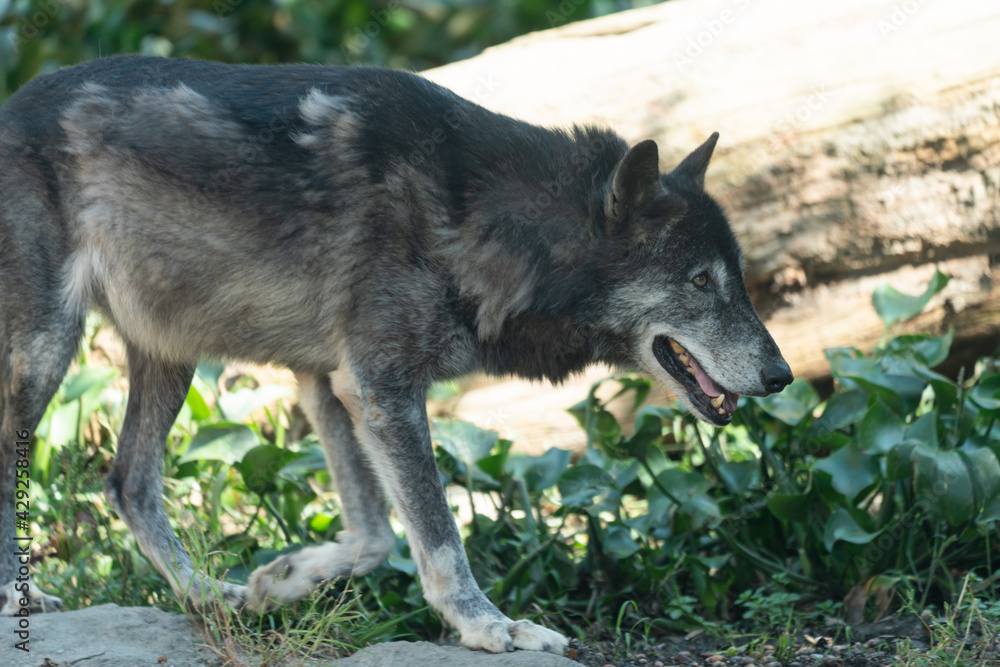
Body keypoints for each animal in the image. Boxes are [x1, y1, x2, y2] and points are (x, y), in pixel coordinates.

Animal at [0, 55, 791, 652]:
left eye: (736, 276)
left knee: (128, 481)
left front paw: (284, 578)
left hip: (171, 356)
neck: (482, 218)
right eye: (700, 282)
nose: (782, 375)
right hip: (50, 352)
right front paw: (491, 627)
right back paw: (21, 596)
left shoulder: (331, 383)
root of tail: (13, 101)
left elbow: (377, 534)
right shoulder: (378, 388)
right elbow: (438, 536)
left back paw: (210, 598)